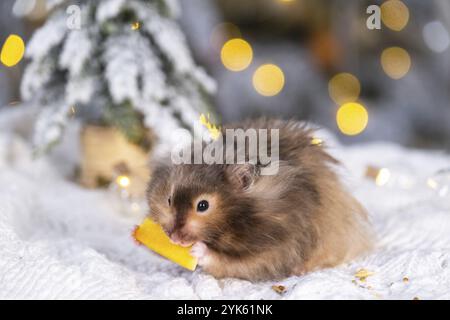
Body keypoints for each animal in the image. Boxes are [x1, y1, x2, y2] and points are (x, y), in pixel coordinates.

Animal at [146, 119, 370, 282]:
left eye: (203, 206)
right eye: (168, 200)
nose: (174, 239)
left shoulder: (276, 247)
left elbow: (230, 261)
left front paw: (197, 249)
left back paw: (300, 270)